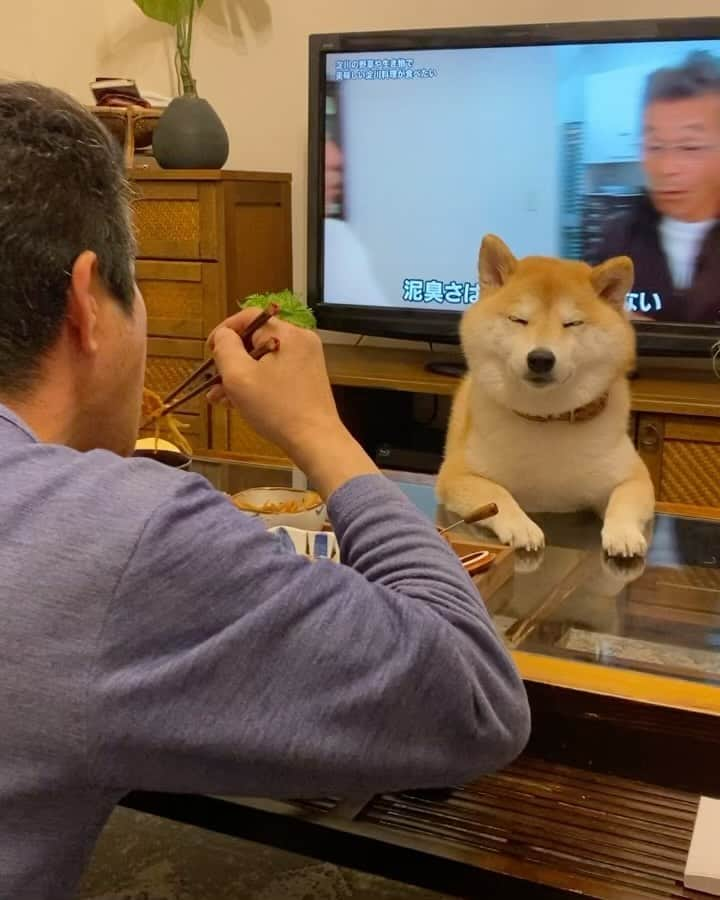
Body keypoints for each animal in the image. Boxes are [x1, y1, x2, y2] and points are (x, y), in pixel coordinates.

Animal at [436, 234, 656, 556]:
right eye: (518, 320)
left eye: (572, 323)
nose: (540, 358)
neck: (548, 417)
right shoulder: (456, 475)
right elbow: (498, 495)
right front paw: (521, 526)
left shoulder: (634, 476)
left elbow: (623, 499)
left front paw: (623, 533)